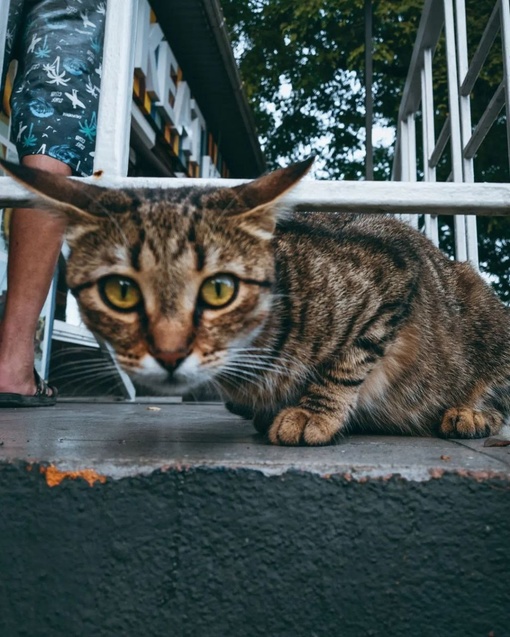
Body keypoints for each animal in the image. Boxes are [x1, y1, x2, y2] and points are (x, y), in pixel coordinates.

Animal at [0, 157, 510, 444]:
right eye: (120, 292)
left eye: (219, 289)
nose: (169, 352)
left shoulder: (395, 272)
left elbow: (348, 361)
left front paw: (312, 412)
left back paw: (471, 413)